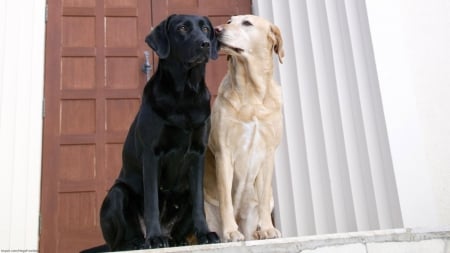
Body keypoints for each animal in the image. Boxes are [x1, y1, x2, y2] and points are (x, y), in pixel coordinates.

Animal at [98, 14, 220, 251]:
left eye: (205, 29)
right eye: (182, 28)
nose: (205, 44)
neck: (185, 94)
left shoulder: (198, 153)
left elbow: (199, 204)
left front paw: (204, 233)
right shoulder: (151, 154)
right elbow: (152, 201)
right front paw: (154, 238)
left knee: (179, 230)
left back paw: (175, 240)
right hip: (117, 194)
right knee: (120, 241)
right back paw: (141, 242)